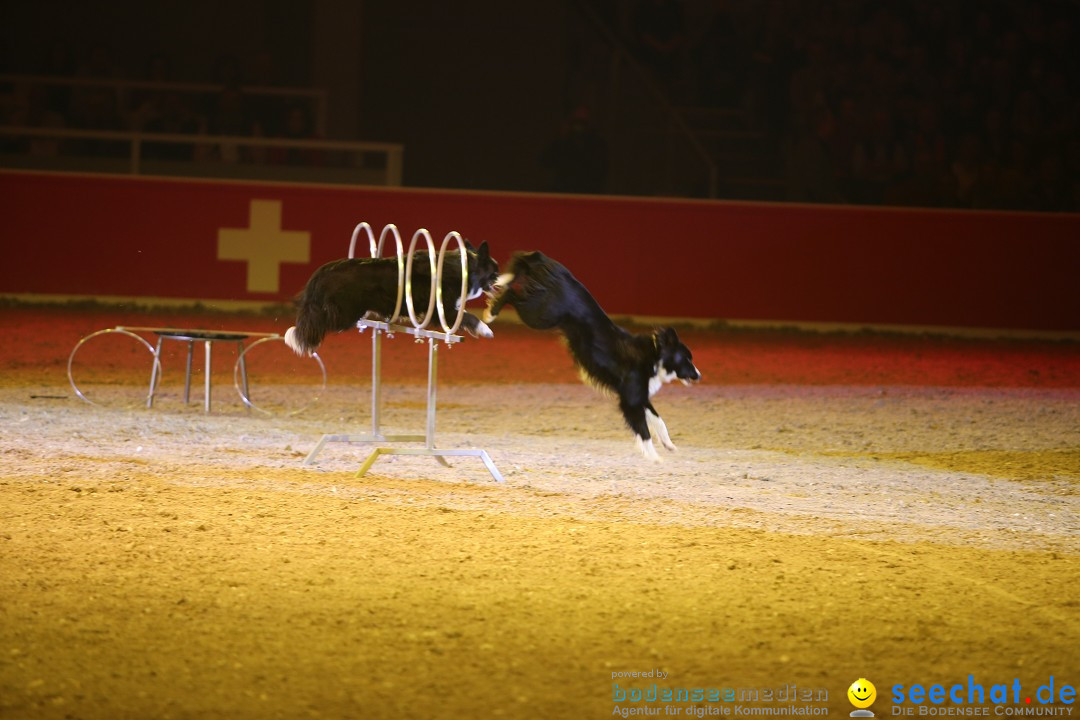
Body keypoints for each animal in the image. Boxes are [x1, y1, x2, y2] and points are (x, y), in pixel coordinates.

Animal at [282, 240, 501, 356]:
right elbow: (469, 316)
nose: (502, 281)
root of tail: (324, 271)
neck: (465, 268)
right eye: (495, 271)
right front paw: (486, 330)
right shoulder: (444, 311)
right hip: (345, 313)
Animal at [481, 249, 699, 462]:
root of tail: (552, 265)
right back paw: (490, 313)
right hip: (540, 315)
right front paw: (654, 458)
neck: (654, 356)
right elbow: (643, 430)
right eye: (687, 359)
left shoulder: (640, 397)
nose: (699, 375)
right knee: (511, 293)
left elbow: (658, 420)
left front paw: (668, 445)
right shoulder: (631, 401)